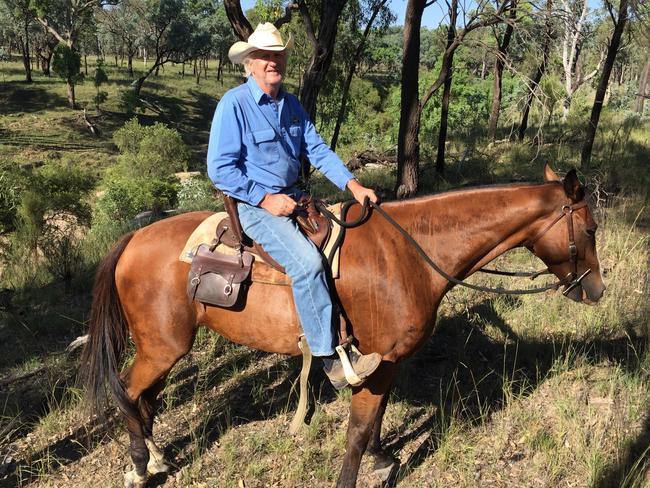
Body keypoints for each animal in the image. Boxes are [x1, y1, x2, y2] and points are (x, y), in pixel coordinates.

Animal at [79, 165, 604, 488]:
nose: (596, 290)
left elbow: (377, 420)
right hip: (162, 347)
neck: (410, 255)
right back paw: (139, 466)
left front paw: (382, 459)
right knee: (129, 392)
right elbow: (357, 429)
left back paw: (155, 457)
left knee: (145, 399)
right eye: (590, 229)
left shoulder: (389, 362)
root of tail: (132, 238)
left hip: (164, 349)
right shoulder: (376, 361)